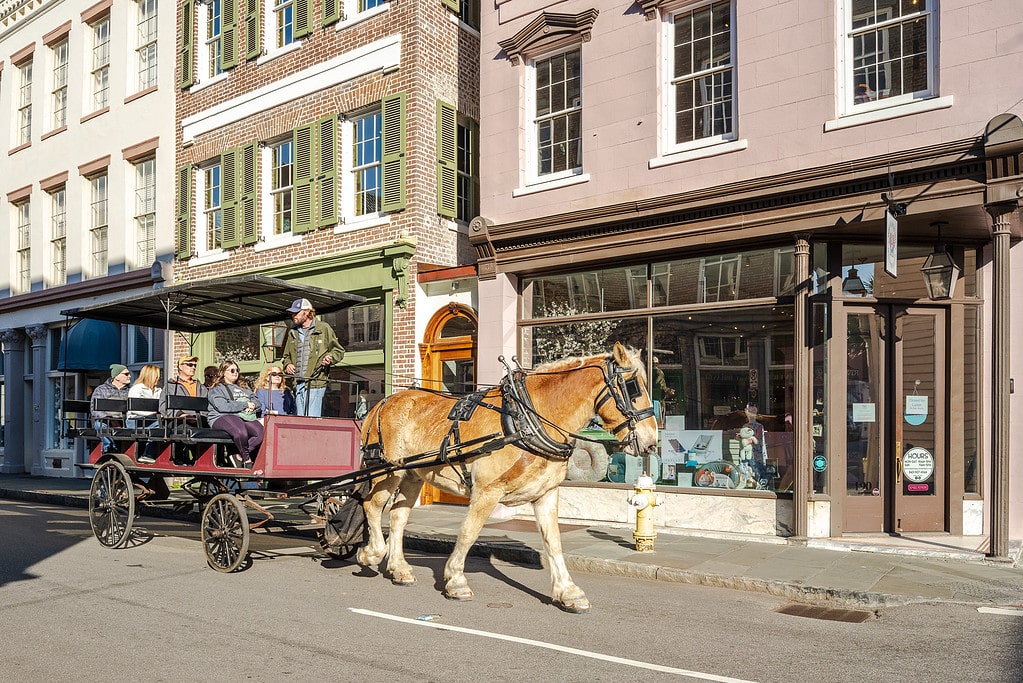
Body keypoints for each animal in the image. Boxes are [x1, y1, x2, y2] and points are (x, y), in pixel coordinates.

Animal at [360, 341, 658, 613]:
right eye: (633, 387)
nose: (652, 442)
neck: (527, 419)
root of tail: (382, 403)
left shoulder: (547, 493)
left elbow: (553, 541)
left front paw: (568, 591)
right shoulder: (486, 491)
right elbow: (468, 533)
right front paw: (456, 581)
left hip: (412, 475)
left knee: (398, 517)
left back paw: (399, 569)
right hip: (388, 471)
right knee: (371, 506)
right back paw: (371, 553)